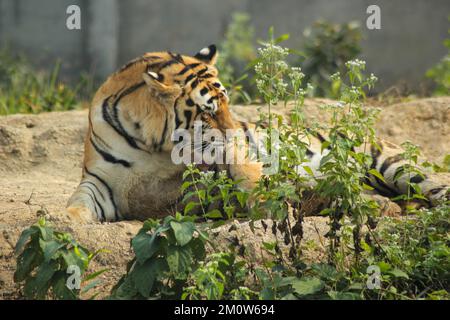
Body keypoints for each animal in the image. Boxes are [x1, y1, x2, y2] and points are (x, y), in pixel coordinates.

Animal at [65, 45, 448, 224]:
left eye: (227, 104)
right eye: (207, 111)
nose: (237, 134)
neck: (150, 145)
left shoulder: (225, 164)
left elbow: (249, 178)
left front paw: (273, 202)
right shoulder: (100, 182)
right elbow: (78, 203)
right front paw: (68, 222)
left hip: (393, 163)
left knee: (436, 192)